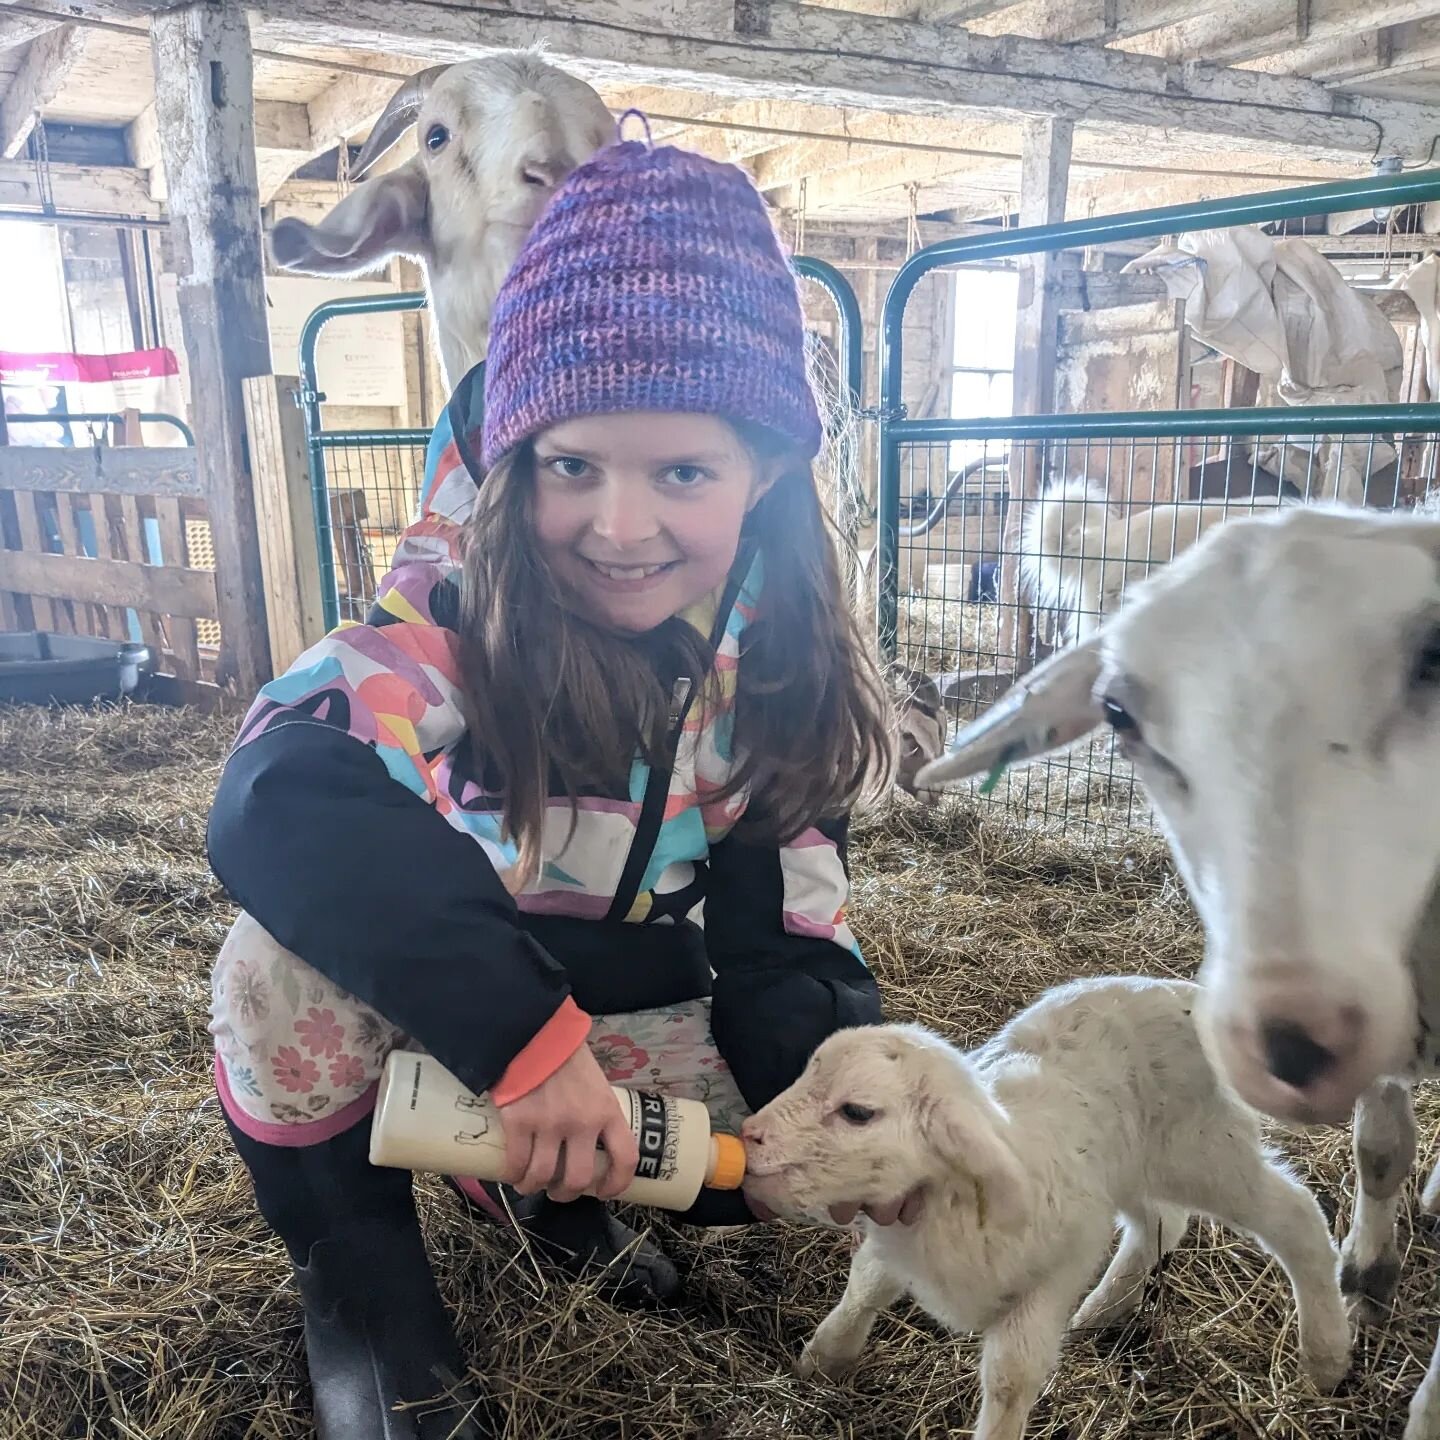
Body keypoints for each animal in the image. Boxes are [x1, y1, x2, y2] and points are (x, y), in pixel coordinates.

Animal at [743, 979, 1347, 1440]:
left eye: (857, 1112)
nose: (749, 1137)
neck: (947, 1202)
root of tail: (1188, 993)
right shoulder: (897, 1238)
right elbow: (866, 1285)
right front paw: (822, 1360)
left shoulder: (1053, 1272)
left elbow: (1011, 1379)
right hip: (1129, 1164)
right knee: (1162, 1221)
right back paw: (1102, 1310)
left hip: (1205, 1150)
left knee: (1296, 1215)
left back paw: (1325, 1359)